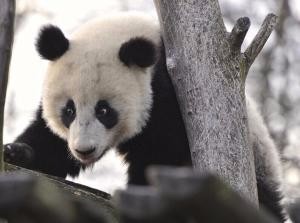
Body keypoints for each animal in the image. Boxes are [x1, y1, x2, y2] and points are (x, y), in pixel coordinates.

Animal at [2, 11, 288, 221]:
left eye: (104, 110)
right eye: (69, 110)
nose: (84, 150)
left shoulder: (166, 96)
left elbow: (163, 152)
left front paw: (139, 191)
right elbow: (49, 143)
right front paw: (16, 152)